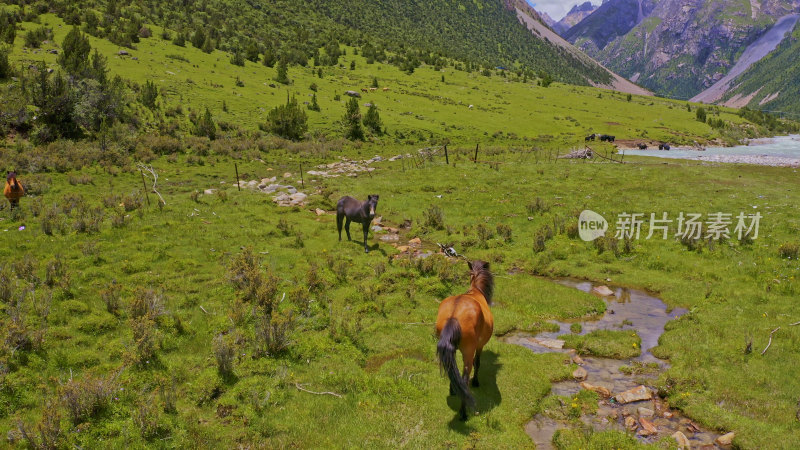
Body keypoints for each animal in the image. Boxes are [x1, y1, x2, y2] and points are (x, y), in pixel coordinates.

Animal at [438, 258, 494, 420]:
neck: (476, 291)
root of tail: (453, 316)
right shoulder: (480, 346)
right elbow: (478, 362)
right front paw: (476, 381)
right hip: (468, 352)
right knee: (464, 378)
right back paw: (463, 413)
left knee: (452, 370)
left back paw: (454, 390)